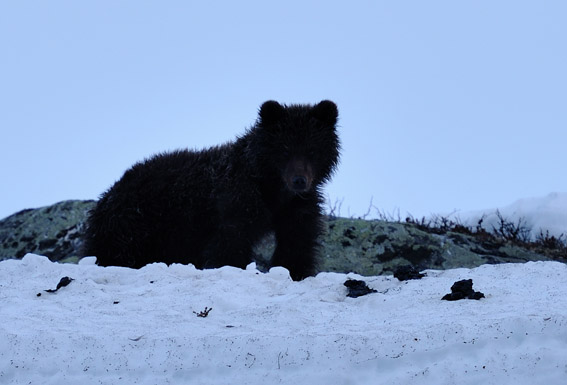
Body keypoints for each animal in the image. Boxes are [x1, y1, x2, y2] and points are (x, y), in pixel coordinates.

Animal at [83, 99, 342, 280]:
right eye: (284, 149)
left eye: (312, 150)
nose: (299, 180)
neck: (271, 188)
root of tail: (106, 197)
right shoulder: (236, 201)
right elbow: (229, 243)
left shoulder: (297, 208)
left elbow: (297, 241)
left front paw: (295, 272)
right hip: (134, 223)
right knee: (120, 252)